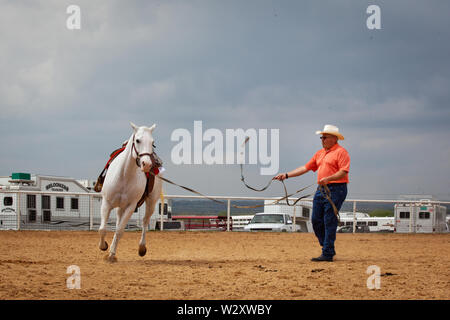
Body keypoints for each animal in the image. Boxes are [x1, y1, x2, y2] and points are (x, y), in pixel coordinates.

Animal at [98, 121, 163, 262]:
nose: (147, 164)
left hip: (151, 202)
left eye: (152, 142)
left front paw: (111, 254)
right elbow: (102, 229)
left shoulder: (131, 206)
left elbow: (119, 231)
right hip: (119, 207)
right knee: (118, 221)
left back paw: (142, 248)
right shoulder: (106, 203)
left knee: (145, 222)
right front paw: (104, 247)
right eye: (137, 140)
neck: (124, 175)